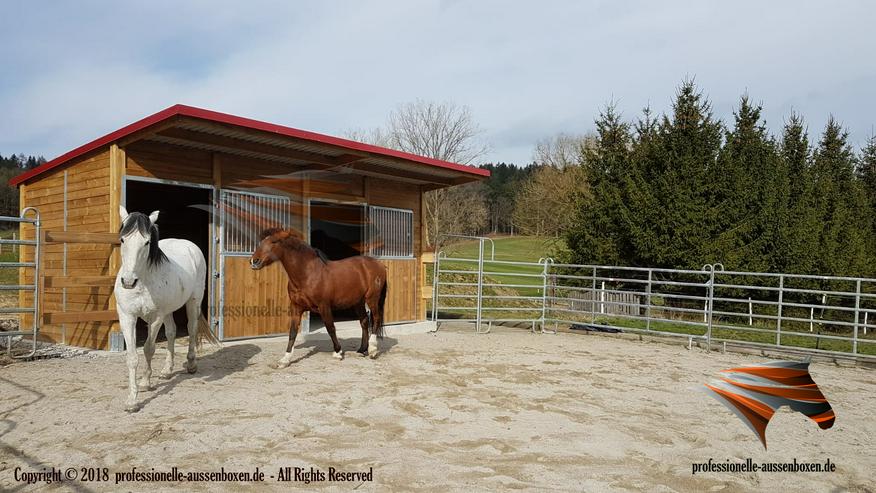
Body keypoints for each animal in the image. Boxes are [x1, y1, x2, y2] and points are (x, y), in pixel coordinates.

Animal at [114, 205, 217, 412]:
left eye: (146, 242)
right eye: (122, 239)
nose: (128, 282)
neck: (143, 281)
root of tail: (188, 245)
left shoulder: (155, 317)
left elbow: (149, 349)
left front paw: (145, 382)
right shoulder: (127, 317)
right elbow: (132, 357)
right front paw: (132, 401)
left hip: (192, 302)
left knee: (192, 330)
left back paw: (191, 364)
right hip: (169, 311)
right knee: (171, 333)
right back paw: (167, 371)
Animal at [250, 227, 386, 366]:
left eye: (274, 242)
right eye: (261, 241)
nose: (254, 261)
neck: (308, 274)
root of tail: (378, 264)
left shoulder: (324, 306)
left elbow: (330, 328)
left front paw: (338, 352)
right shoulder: (296, 307)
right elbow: (293, 331)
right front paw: (285, 359)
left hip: (372, 299)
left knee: (376, 318)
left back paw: (373, 350)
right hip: (358, 302)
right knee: (364, 321)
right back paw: (362, 350)